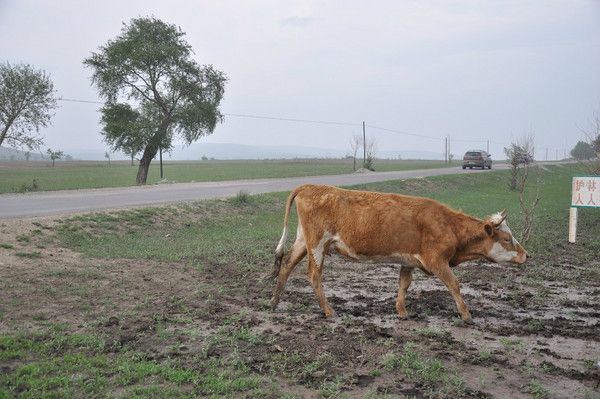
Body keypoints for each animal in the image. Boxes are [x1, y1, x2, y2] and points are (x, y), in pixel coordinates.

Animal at [270, 186, 528, 324]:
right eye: (507, 239)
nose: (526, 255)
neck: (448, 225)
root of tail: (309, 186)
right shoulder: (437, 261)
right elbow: (454, 284)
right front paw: (466, 314)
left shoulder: (408, 260)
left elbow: (404, 284)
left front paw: (402, 311)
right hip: (317, 244)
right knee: (314, 274)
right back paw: (328, 310)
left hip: (303, 241)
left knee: (287, 264)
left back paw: (274, 302)